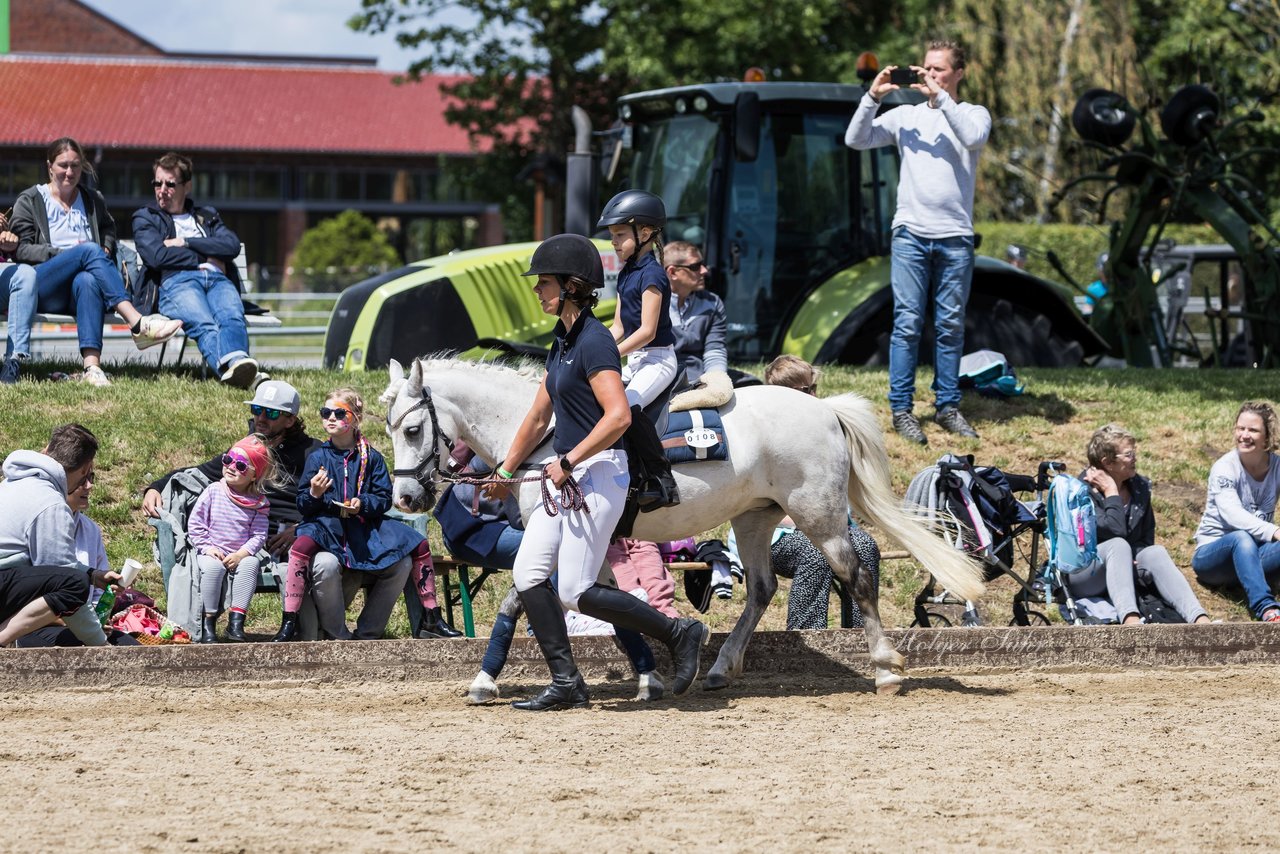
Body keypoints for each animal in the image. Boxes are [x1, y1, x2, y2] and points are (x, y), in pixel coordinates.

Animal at [384, 355, 983, 696]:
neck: (551, 438)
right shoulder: (588, 544)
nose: (406, 496)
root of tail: (822, 408)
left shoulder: (558, 539)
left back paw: (885, 669)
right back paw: (720, 668)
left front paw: (487, 678)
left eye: (412, 429)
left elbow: (527, 599)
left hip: (820, 514)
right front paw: (650, 672)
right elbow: (597, 604)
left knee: (856, 577)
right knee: (762, 588)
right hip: (755, 517)